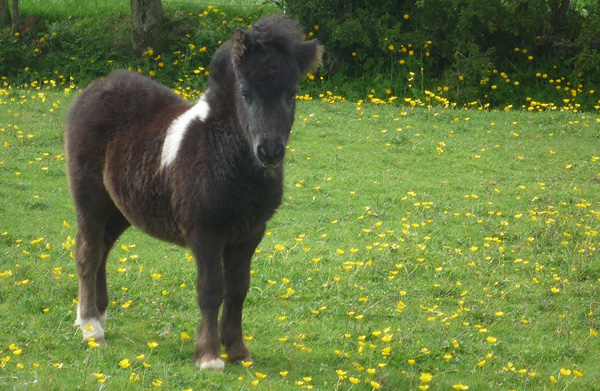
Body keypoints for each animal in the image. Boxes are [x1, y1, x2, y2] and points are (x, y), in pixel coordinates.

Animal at [64, 14, 324, 370]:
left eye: (292, 91)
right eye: (245, 92)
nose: (270, 151)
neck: (221, 152)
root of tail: (92, 89)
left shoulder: (250, 233)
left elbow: (238, 289)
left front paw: (238, 350)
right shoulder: (205, 232)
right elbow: (211, 290)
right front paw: (209, 356)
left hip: (120, 209)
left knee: (103, 248)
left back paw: (99, 315)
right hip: (90, 200)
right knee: (87, 252)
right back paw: (90, 327)